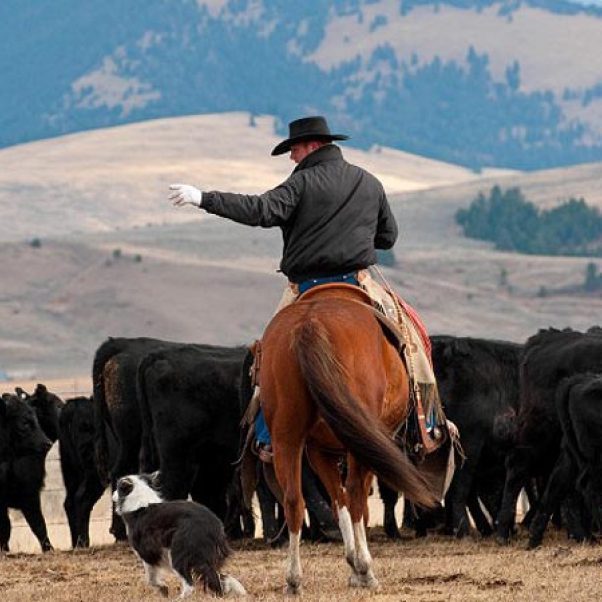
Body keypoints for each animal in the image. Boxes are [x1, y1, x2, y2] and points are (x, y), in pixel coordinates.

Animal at [258, 284, 436, 592]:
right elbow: (355, 500)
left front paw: (351, 563)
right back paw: (367, 570)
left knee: (294, 500)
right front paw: (358, 568)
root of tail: (310, 322)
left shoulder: (320, 450)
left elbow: (336, 499)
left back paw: (294, 579)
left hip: (286, 435)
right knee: (355, 495)